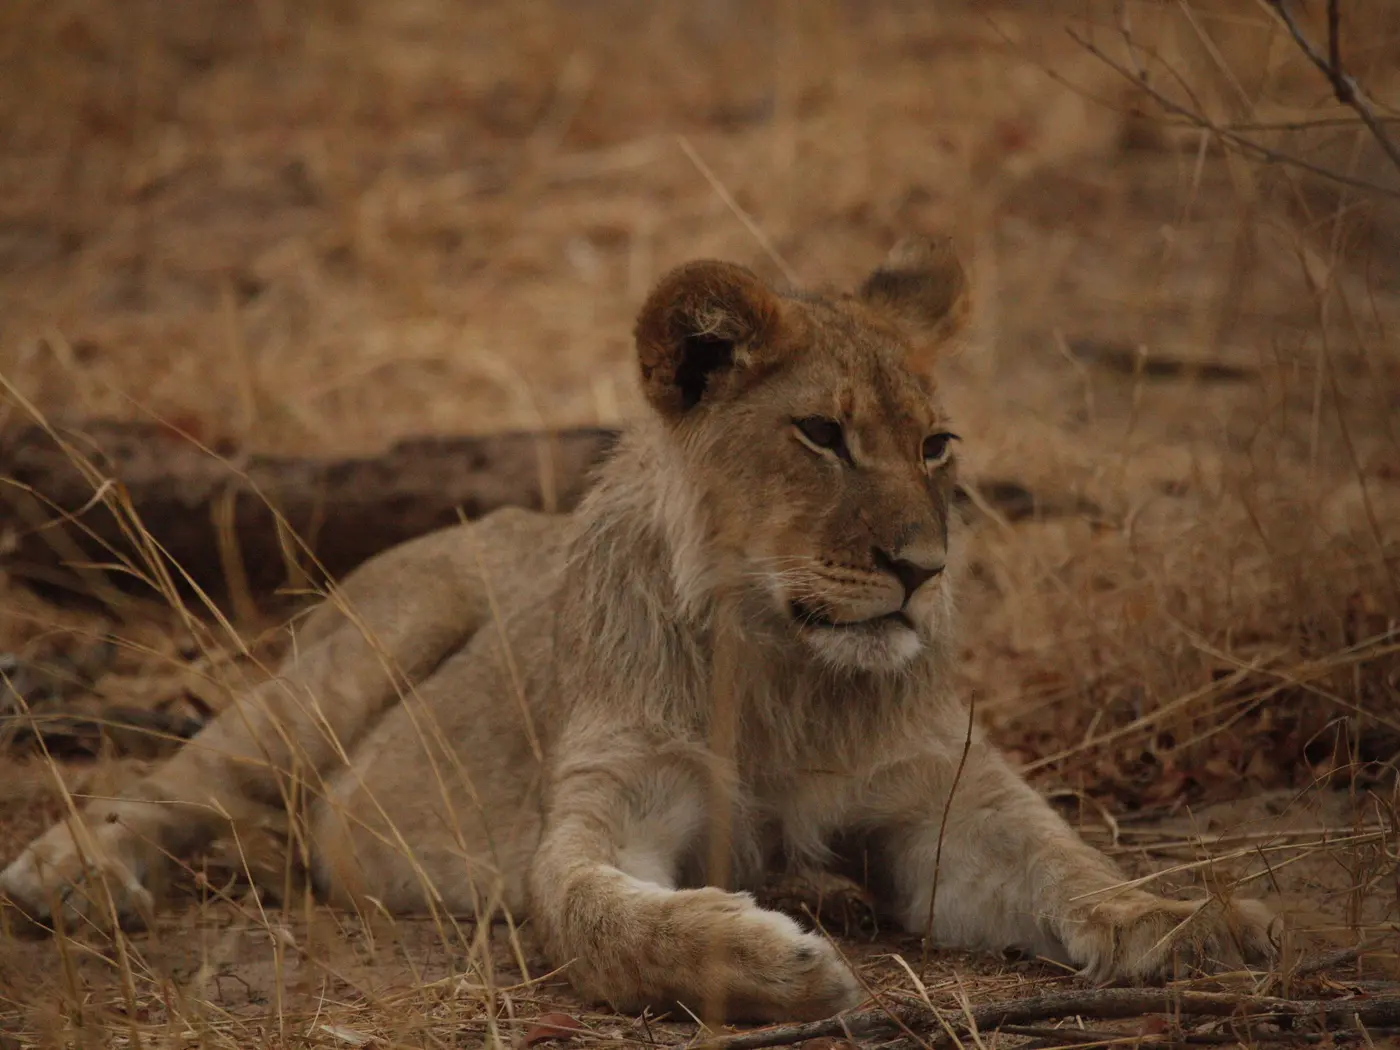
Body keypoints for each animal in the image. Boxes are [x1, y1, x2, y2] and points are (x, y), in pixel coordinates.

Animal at [0, 237, 1276, 1022]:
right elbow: (601, 914)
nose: (921, 570)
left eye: (935, 444)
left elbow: (1064, 864)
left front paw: (1192, 922)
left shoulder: (939, 801)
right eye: (820, 435)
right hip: (347, 665)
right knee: (185, 778)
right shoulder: (604, 807)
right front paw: (765, 963)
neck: (782, 668)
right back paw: (71, 873)